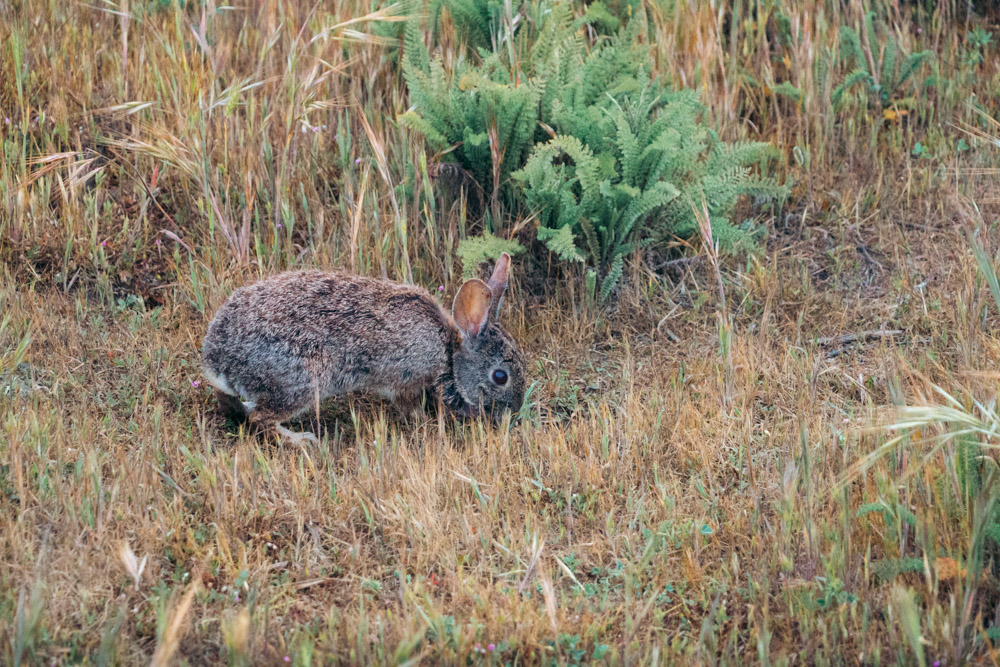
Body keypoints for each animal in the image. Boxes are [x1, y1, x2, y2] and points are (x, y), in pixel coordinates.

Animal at [200, 253, 528, 446]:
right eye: (500, 376)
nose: (514, 411)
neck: (449, 352)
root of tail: (218, 358)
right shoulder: (407, 380)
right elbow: (409, 407)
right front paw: (428, 424)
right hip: (302, 382)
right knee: (260, 419)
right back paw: (302, 440)